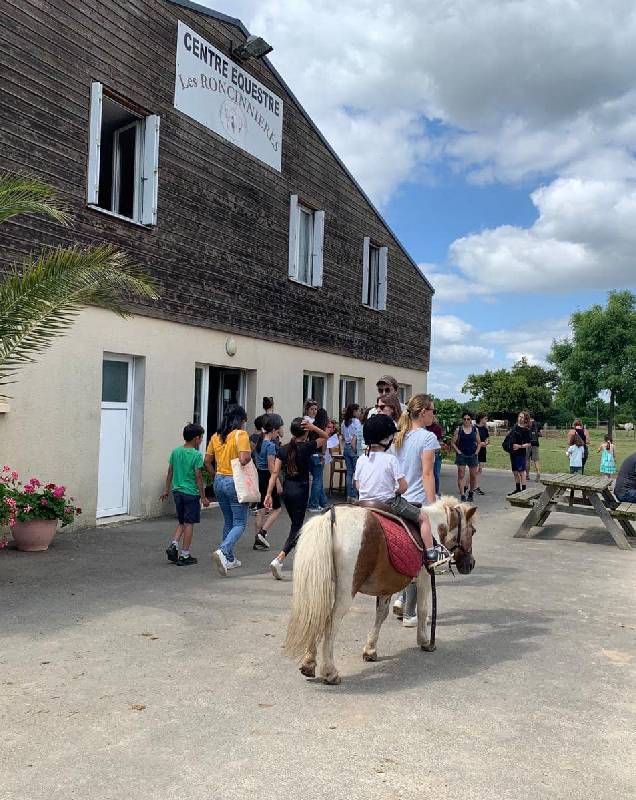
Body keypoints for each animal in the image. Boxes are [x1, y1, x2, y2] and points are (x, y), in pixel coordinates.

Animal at [286, 496, 474, 684]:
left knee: (315, 614)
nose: (470, 564)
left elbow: (381, 614)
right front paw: (425, 641)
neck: (435, 527)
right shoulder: (425, 576)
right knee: (332, 621)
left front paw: (370, 650)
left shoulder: (387, 583)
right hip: (346, 590)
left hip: (320, 583)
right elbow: (422, 609)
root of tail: (329, 518)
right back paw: (329, 672)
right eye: (473, 531)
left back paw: (309, 664)